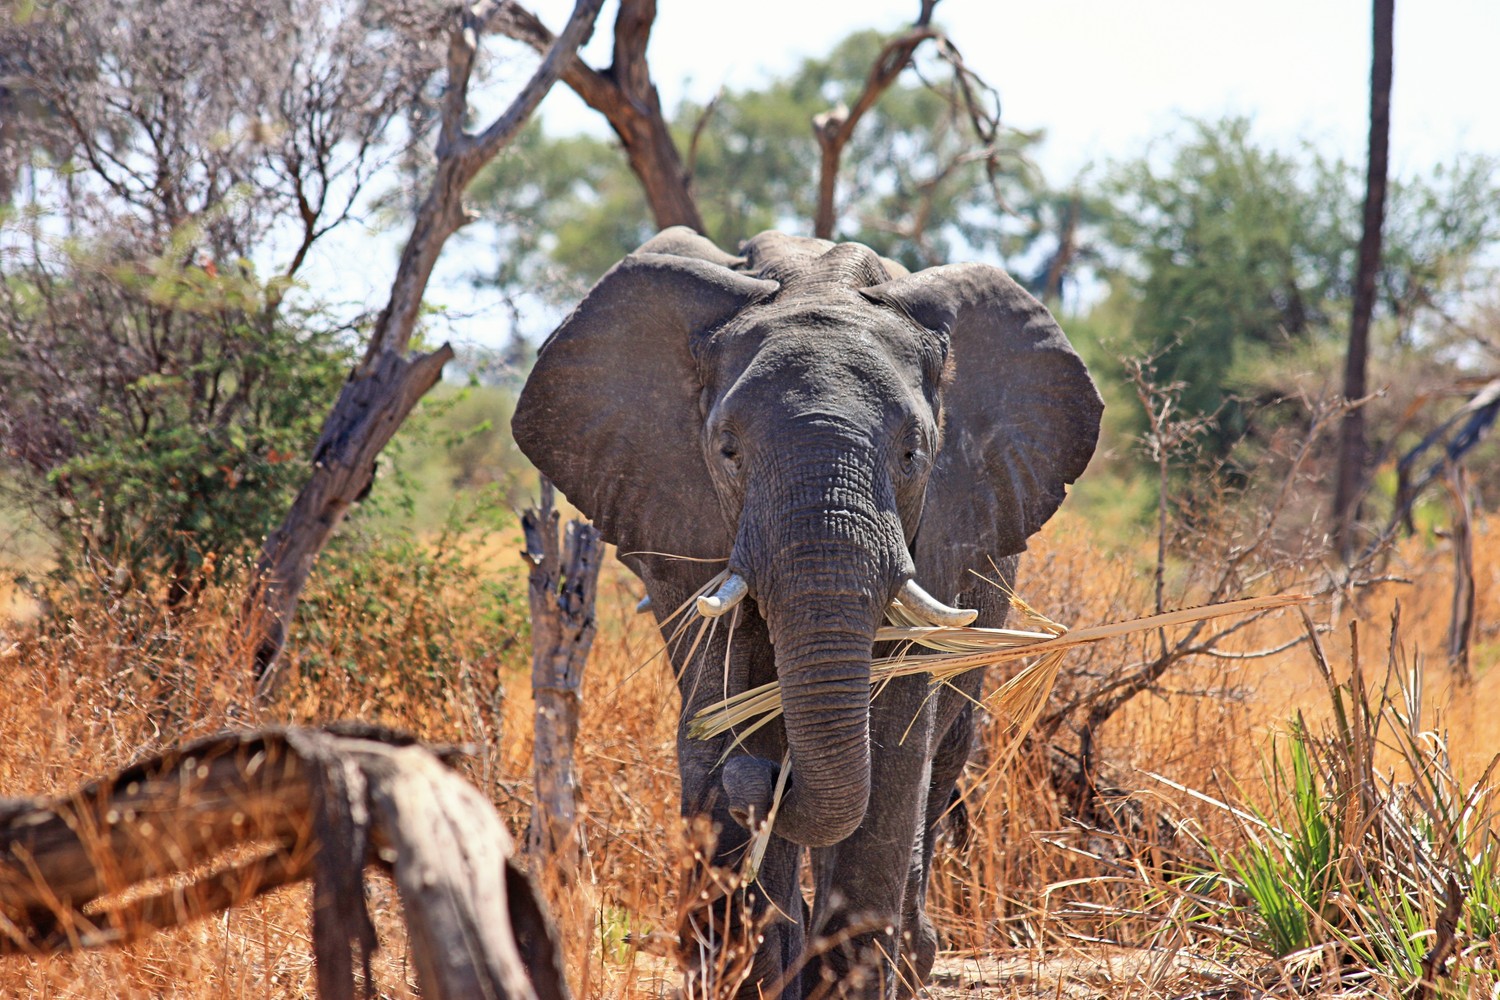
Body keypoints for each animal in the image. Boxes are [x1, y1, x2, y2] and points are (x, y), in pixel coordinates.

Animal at [516, 229, 1104, 1000]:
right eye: (727, 450)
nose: (769, 781)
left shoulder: (940, 530)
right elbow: (720, 706)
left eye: (913, 453)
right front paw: (748, 969)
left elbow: (892, 740)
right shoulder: (683, 519)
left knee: (942, 754)